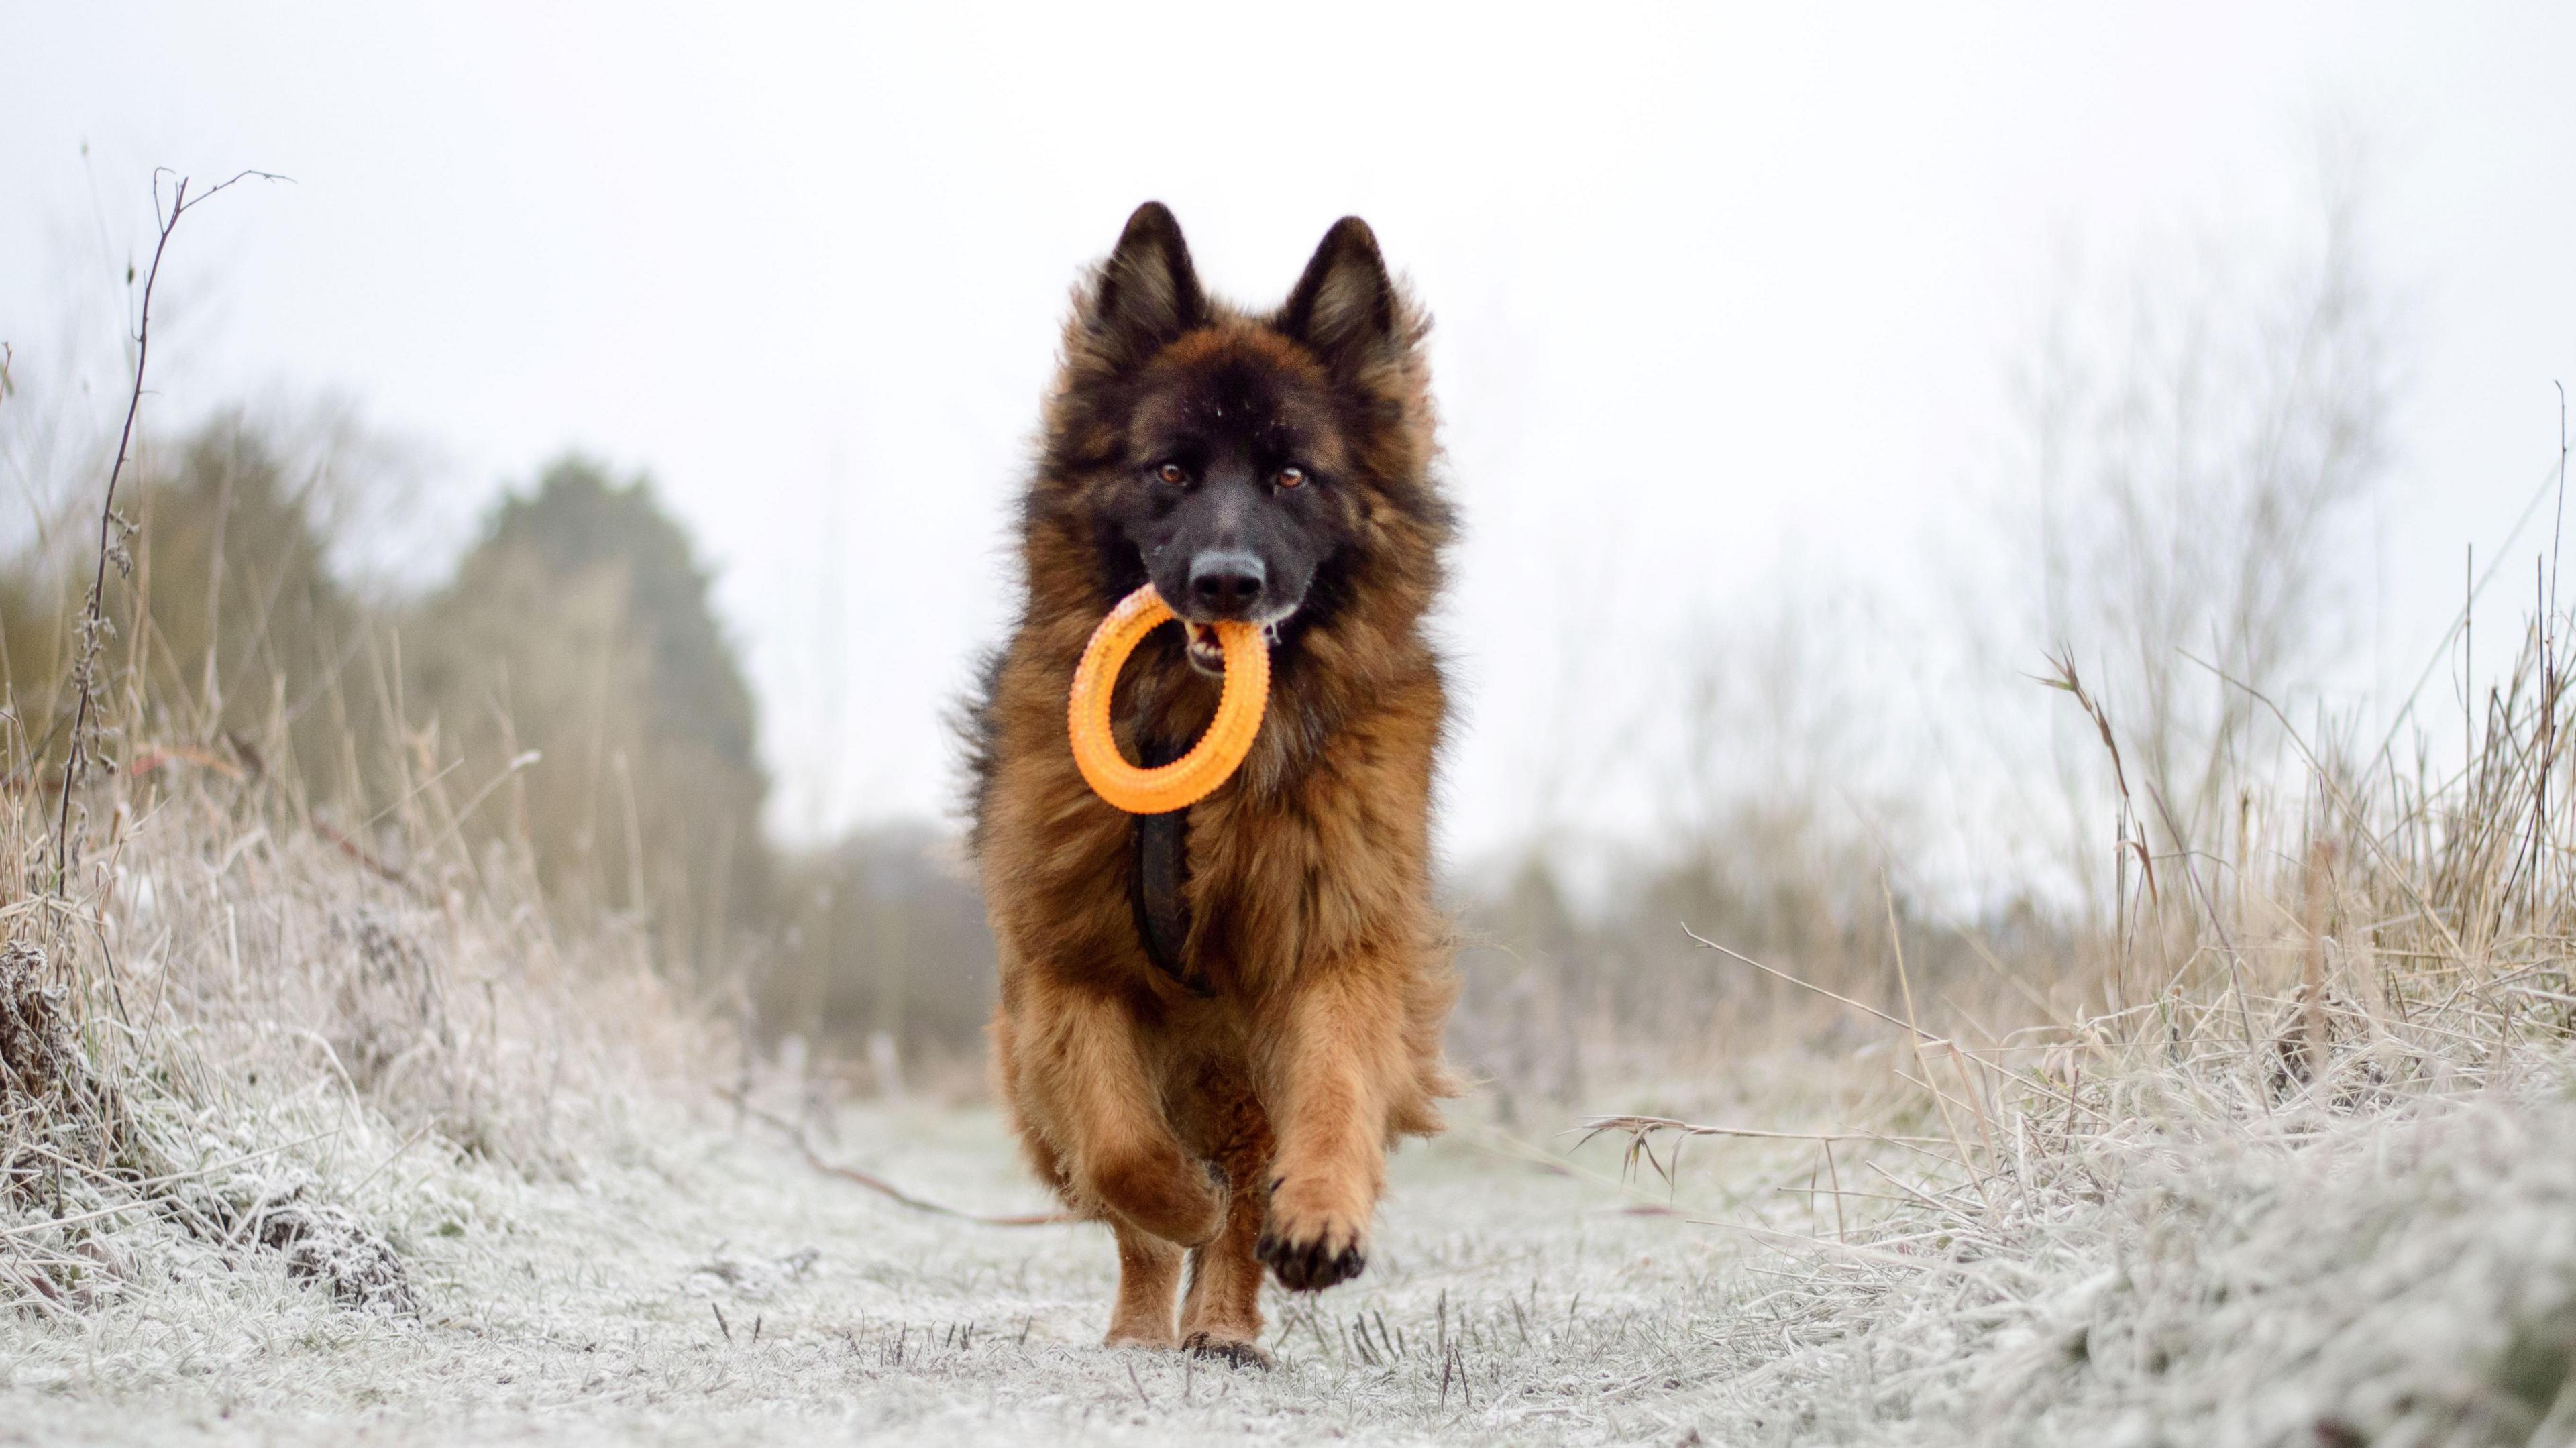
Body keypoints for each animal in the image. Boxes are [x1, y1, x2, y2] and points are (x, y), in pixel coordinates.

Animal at [963, 203, 1463, 1360]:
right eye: (1172, 471)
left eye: (1290, 476)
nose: (1227, 584)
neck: (1199, 772)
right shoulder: (1072, 969)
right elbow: (1122, 1154)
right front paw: (1178, 1199)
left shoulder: (1333, 939)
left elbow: (1333, 1084)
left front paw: (1320, 1215)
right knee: (1135, 1214)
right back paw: (1149, 1322)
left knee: (1243, 1195)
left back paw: (1227, 1322)